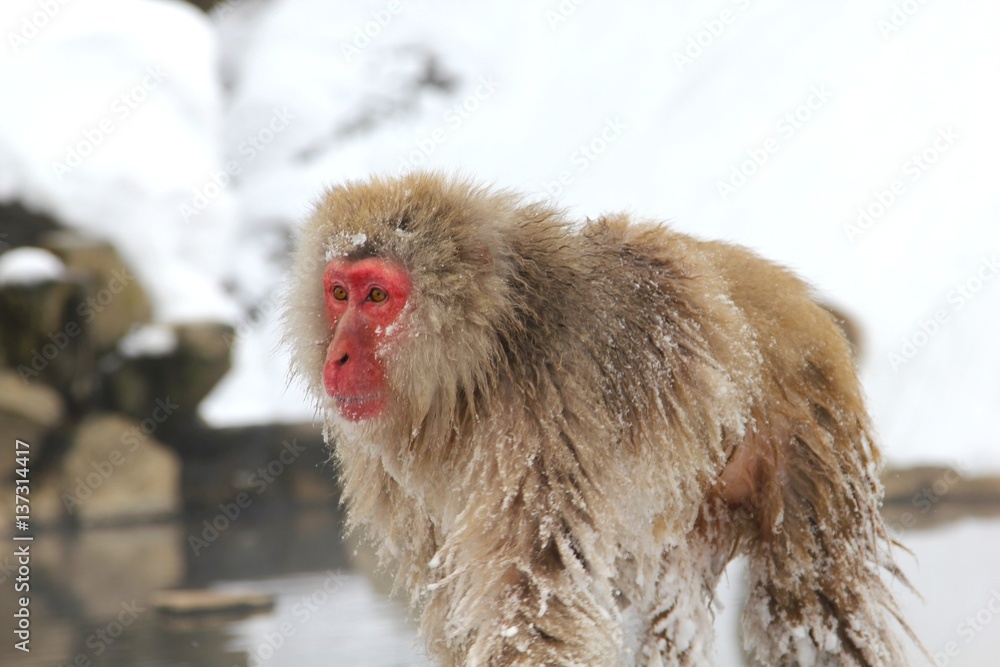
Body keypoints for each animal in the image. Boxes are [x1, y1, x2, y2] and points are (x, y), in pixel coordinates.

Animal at [283, 172, 914, 666]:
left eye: (376, 296)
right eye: (338, 293)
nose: (337, 357)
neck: (479, 368)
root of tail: (793, 294)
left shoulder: (541, 430)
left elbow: (536, 605)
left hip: (812, 432)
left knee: (812, 610)